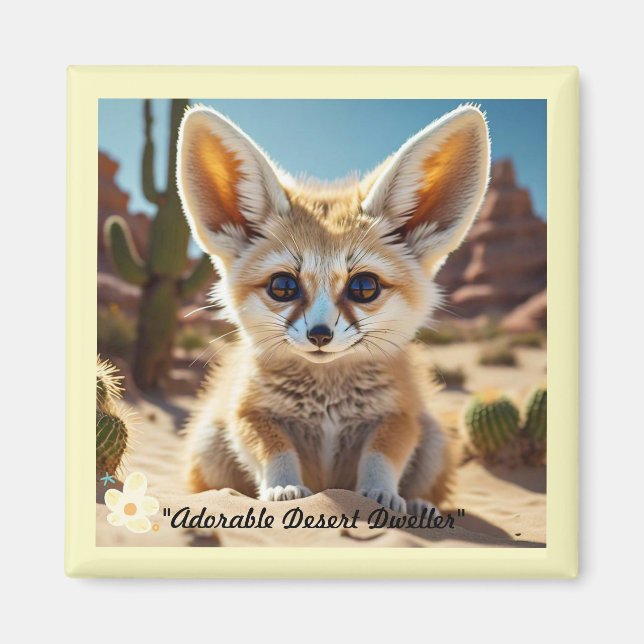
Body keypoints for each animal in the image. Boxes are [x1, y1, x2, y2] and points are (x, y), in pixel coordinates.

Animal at [176, 103, 490, 515]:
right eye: (283, 287)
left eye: (364, 287)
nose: (320, 335)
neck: (327, 401)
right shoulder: (248, 412)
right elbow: (274, 451)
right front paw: (284, 488)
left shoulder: (400, 415)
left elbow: (381, 456)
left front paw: (381, 494)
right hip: (209, 438)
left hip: (435, 438)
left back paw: (420, 504)